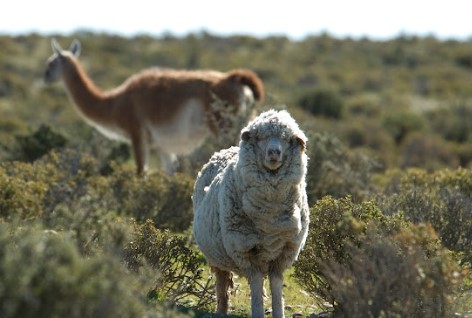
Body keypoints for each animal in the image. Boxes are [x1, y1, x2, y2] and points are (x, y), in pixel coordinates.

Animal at [42, 39, 264, 176]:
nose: (44, 77)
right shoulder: (162, 145)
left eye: (51, 63)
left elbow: (141, 173)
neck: (114, 103)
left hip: (224, 126)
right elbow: (169, 175)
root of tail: (232, 79)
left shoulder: (137, 134)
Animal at [192, 109, 310, 318]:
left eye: (287, 139)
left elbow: (276, 284)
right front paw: (257, 311)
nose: (274, 152)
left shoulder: (285, 251)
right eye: (260, 138)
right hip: (216, 257)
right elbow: (255, 283)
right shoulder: (245, 249)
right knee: (222, 283)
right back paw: (221, 310)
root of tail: (224, 150)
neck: (270, 218)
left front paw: (278, 312)